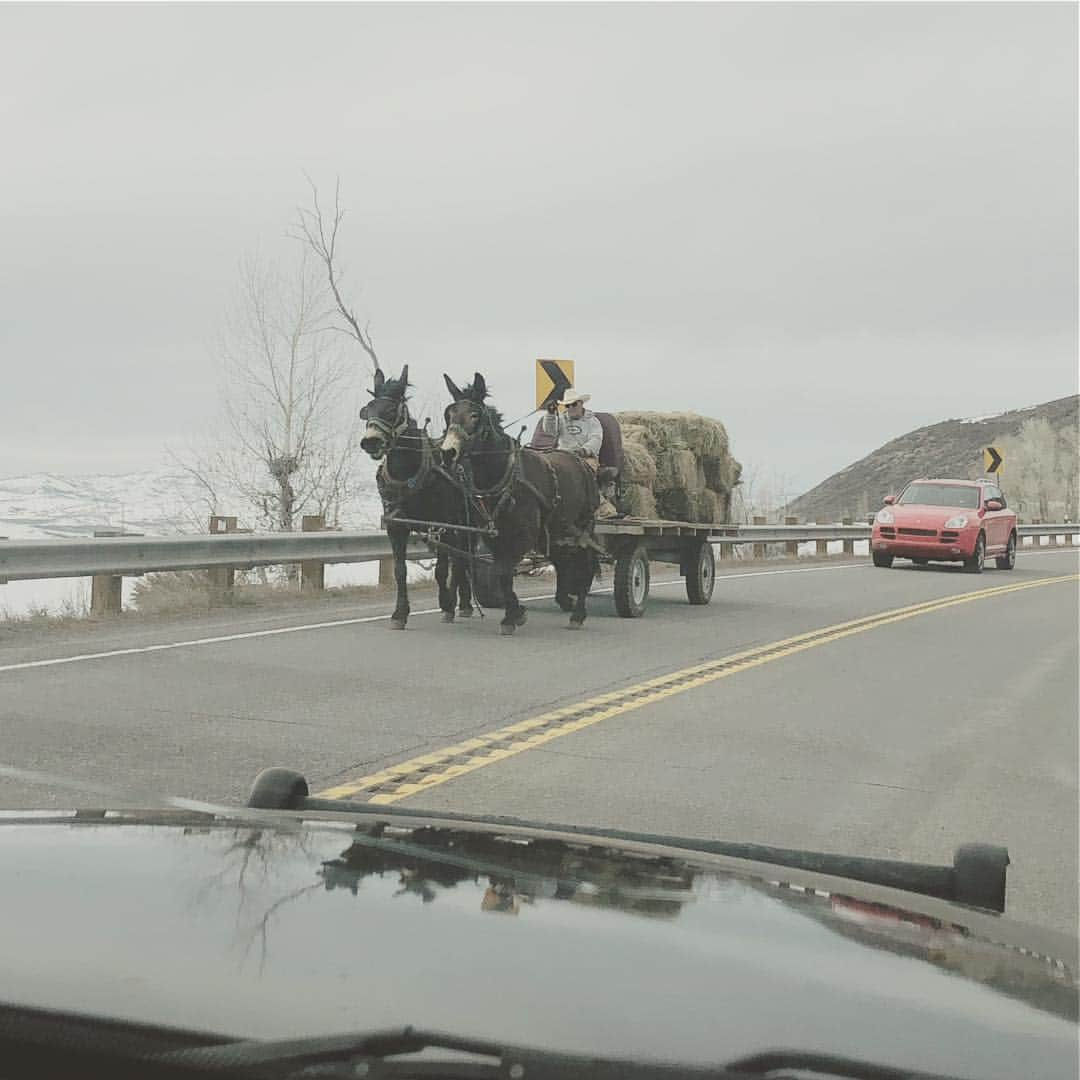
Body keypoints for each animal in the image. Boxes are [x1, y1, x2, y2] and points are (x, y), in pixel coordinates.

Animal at [362, 367, 473, 630]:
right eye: (367, 410)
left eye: (391, 410)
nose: (370, 441)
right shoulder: (395, 525)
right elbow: (400, 570)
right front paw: (400, 613)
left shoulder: (441, 524)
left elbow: (441, 569)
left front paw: (446, 603)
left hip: (465, 523)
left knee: (461, 559)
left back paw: (460, 603)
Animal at [442, 375, 604, 635]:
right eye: (449, 414)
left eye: (475, 415)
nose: (447, 452)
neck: (505, 475)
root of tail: (580, 461)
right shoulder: (494, 536)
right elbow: (501, 572)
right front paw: (515, 612)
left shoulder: (523, 535)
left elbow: (504, 571)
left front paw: (512, 616)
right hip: (557, 530)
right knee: (562, 561)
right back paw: (565, 601)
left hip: (584, 526)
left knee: (586, 565)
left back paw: (578, 614)